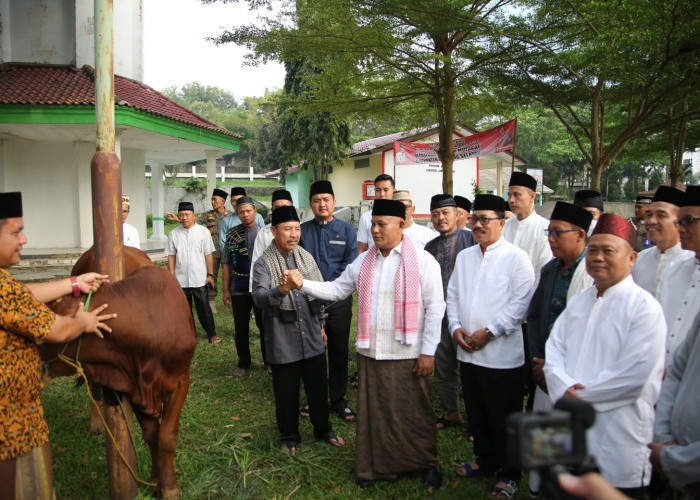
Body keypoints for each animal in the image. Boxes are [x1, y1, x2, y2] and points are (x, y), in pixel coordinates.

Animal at [40, 264, 196, 498]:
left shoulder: (180, 382)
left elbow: (166, 437)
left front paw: (169, 488)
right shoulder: (134, 386)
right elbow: (152, 435)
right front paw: (155, 481)